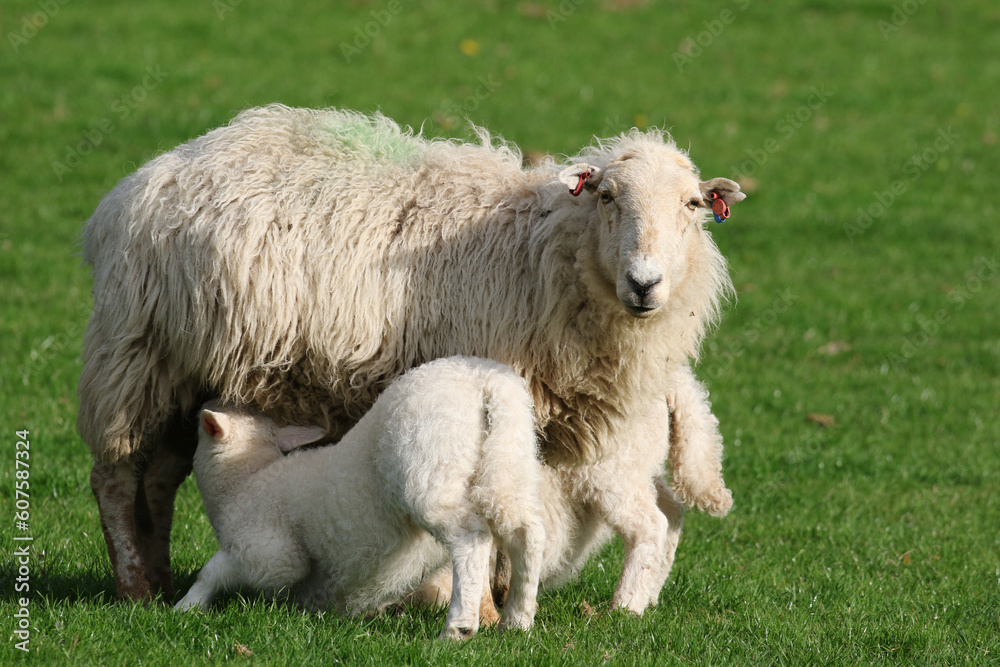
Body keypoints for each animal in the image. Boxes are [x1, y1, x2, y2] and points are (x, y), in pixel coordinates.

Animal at [78, 105, 744, 600]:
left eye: (691, 206)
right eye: (607, 197)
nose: (645, 283)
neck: (543, 251)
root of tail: (156, 171)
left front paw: (499, 595)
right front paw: (478, 600)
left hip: (186, 370)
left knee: (161, 474)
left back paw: (160, 579)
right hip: (135, 355)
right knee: (115, 475)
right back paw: (135, 586)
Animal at [177, 355, 685, 633]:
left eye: (201, 427)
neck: (247, 480)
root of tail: (484, 381)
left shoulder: (268, 549)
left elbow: (223, 569)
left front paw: (184, 607)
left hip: (431, 469)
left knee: (471, 541)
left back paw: (459, 628)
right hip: (510, 459)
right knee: (526, 533)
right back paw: (518, 620)